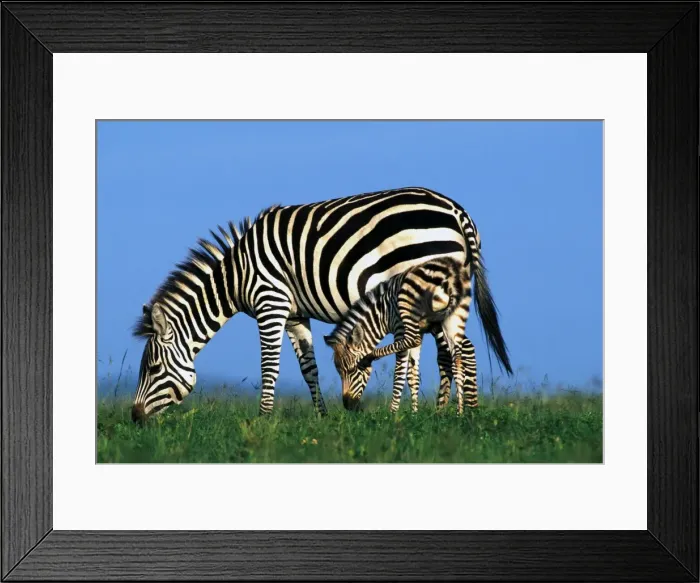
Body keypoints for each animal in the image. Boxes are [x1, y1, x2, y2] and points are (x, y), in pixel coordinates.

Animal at [323, 256, 479, 414]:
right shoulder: (420, 332)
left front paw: (393, 413)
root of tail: (450, 276)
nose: (348, 406)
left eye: (351, 370)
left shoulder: (399, 328)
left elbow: (399, 372)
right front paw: (414, 413)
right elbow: (413, 375)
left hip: (407, 308)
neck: (382, 313)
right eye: (339, 372)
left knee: (414, 340)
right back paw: (461, 412)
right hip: (454, 317)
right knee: (458, 360)